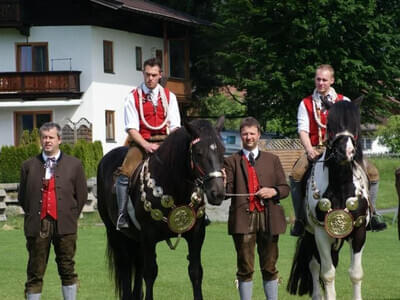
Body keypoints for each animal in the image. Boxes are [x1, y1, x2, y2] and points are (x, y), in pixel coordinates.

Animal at [97, 117, 227, 300]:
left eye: (222, 151)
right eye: (199, 152)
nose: (218, 192)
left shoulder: (196, 235)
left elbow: (195, 272)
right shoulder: (148, 236)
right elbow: (150, 273)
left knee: (137, 264)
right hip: (115, 233)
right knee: (125, 266)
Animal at [288, 101, 372, 300]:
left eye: (355, 126)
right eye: (331, 126)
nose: (345, 152)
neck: (341, 185)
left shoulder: (358, 232)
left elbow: (356, 273)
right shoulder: (322, 233)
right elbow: (327, 274)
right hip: (311, 235)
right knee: (314, 265)